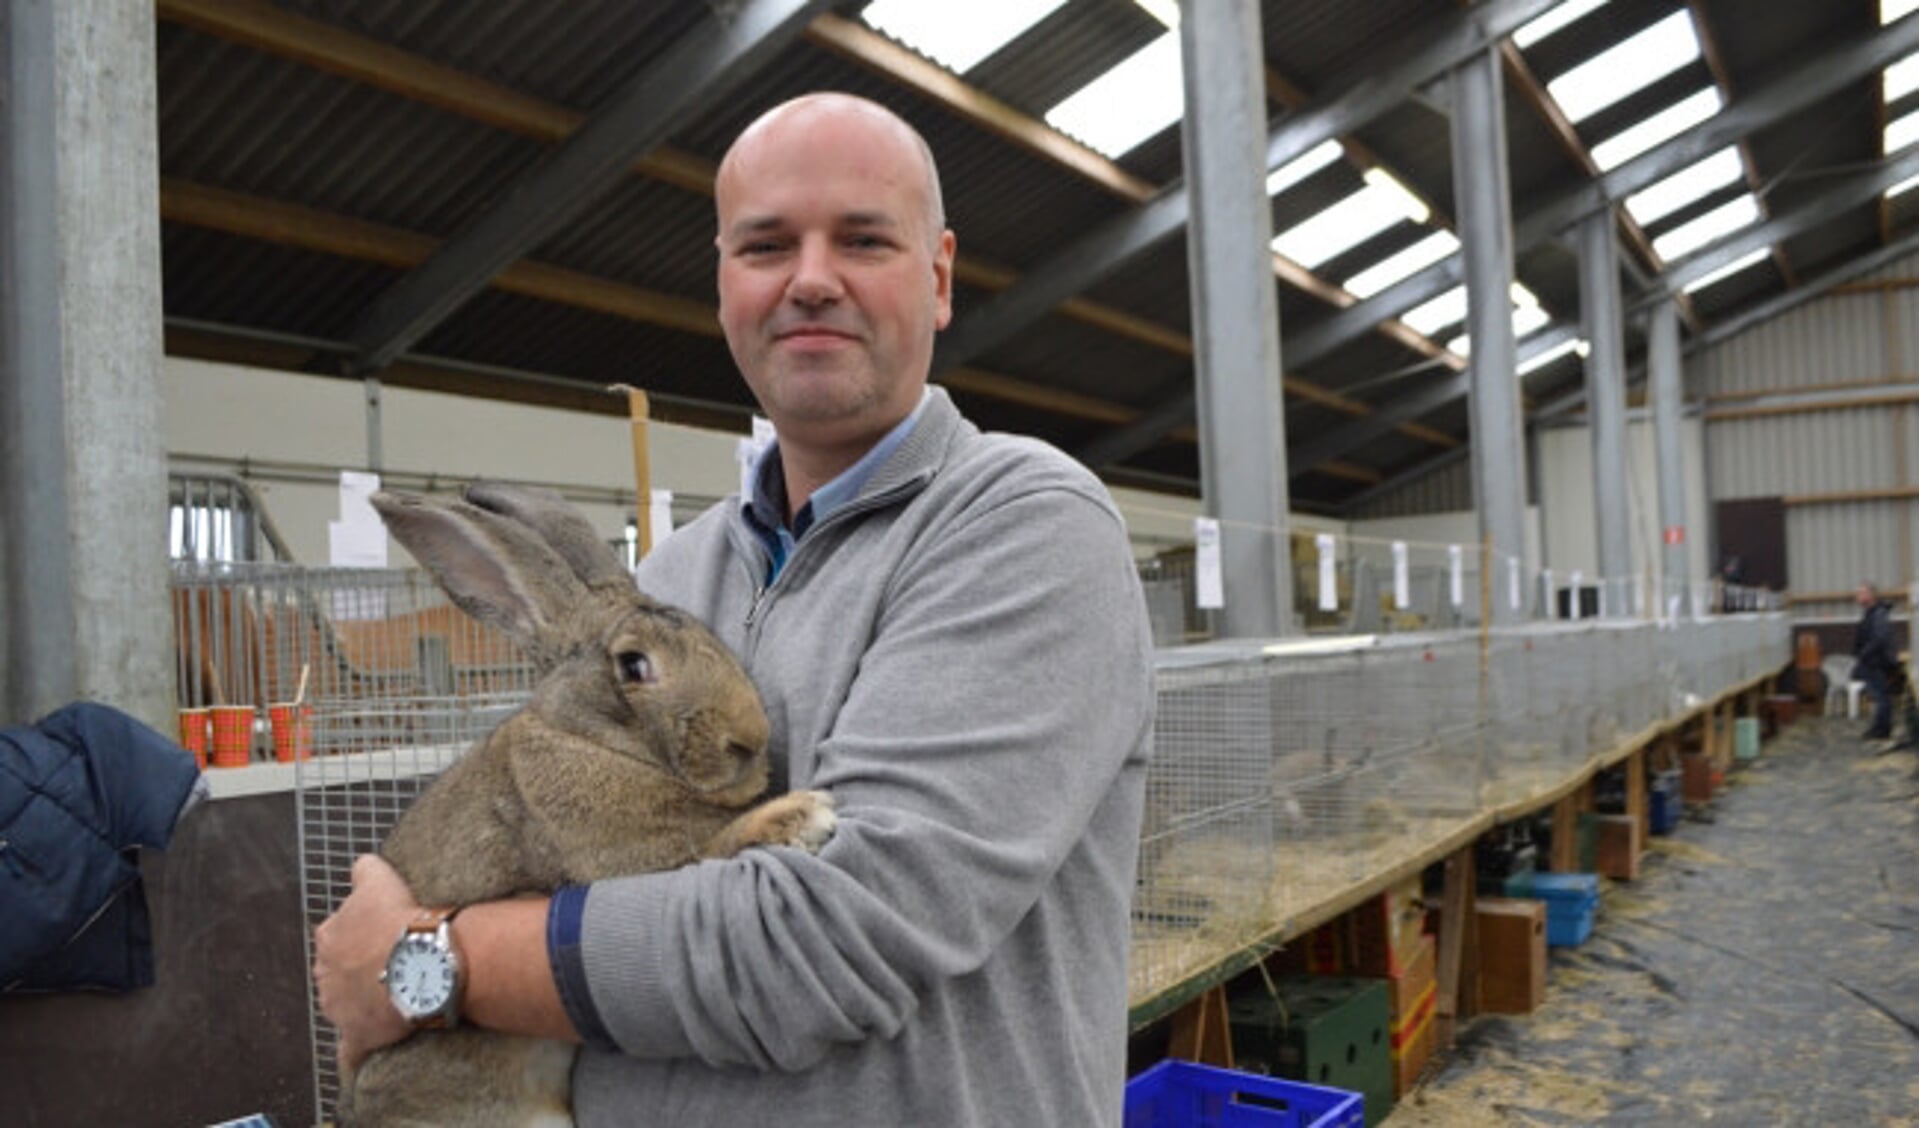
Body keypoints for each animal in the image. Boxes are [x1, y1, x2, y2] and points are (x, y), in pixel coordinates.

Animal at [341, 483, 836, 1128]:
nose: (749, 741)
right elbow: (718, 843)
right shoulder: (627, 864)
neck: (590, 740)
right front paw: (803, 814)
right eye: (633, 665)